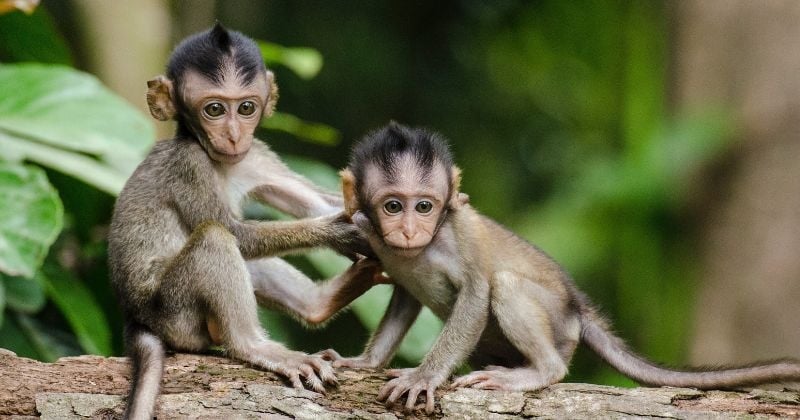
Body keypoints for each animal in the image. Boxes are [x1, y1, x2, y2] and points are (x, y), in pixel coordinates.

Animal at [318, 121, 800, 414]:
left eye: (424, 206)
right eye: (393, 206)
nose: (409, 230)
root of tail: (577, 309)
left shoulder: (459, 231)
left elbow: (477, 292)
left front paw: (424, 376)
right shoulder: (374, 238)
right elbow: (403, 297)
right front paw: (364, 362)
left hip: (558, 324)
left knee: (506, 286)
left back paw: (539, 371)